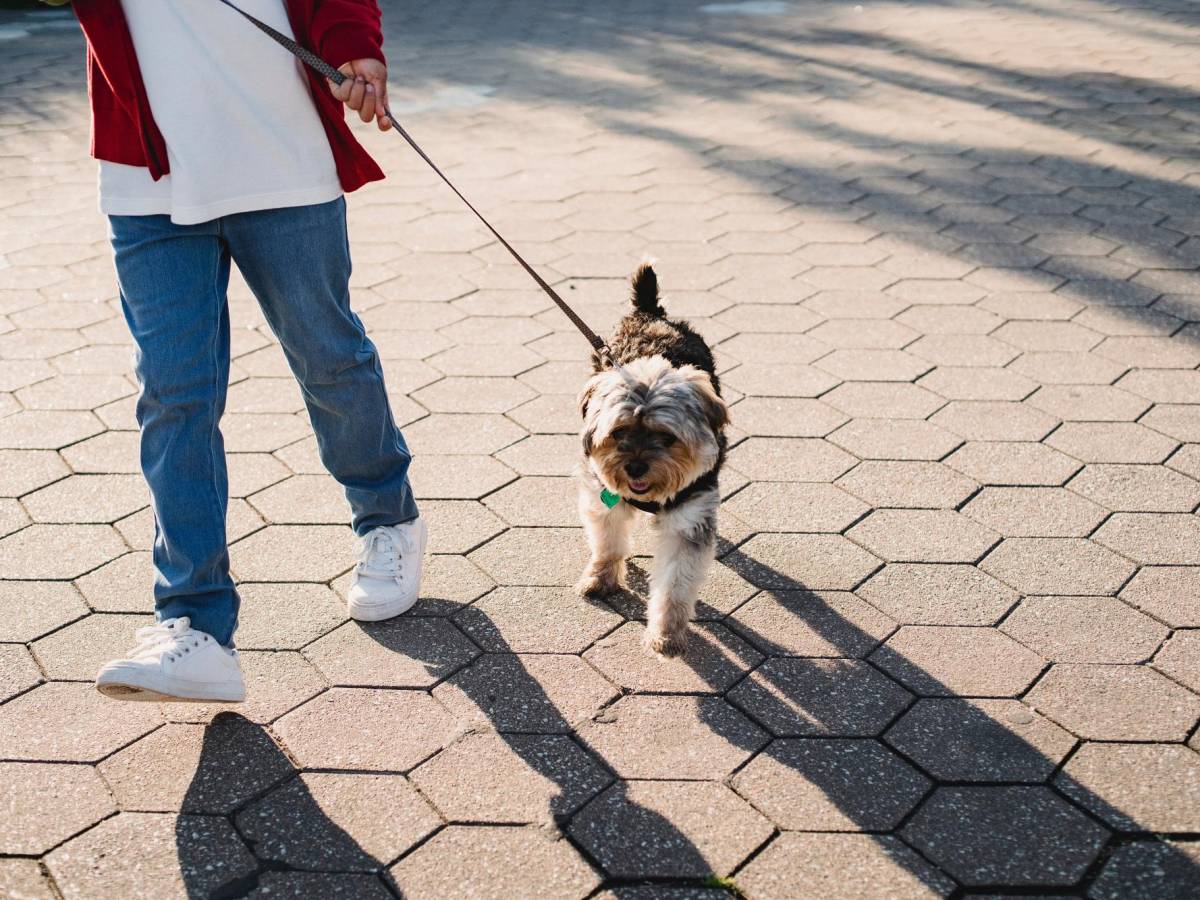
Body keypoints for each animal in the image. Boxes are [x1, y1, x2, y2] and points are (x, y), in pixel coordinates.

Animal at [573, 260, 724, 657]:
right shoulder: (603, 494)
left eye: (667, 438)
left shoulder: (689, 517)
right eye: (618, 432)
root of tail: (649, 312)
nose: (636, 466)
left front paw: (667, 633)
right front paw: (601, 577)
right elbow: (607, 540)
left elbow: (675, 582)